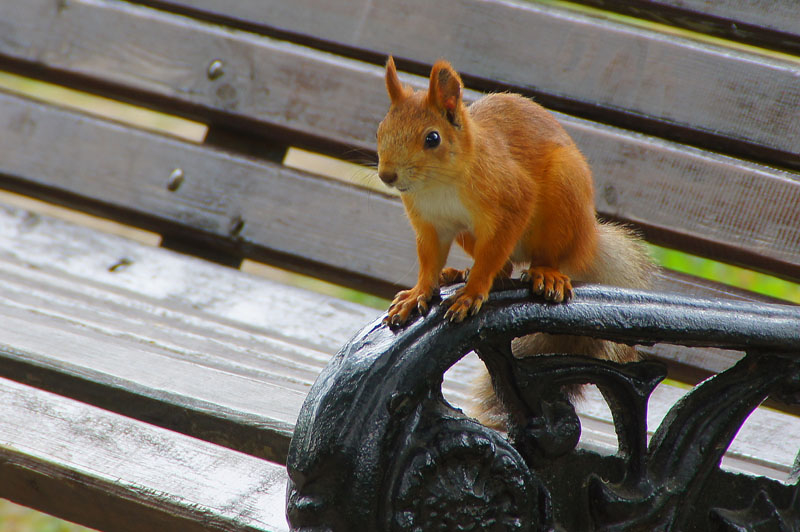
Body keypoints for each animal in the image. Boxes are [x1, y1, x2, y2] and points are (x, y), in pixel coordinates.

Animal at [374, 57, 648, 424]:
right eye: (381, 130)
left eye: (432, 138)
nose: (387, 175)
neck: (440, 184)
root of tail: (588, 241)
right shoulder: (431, 224)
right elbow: (429, 261)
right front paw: (419, 293)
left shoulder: (510, 203)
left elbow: (492, 254)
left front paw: (471, 294)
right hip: (468, 233)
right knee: (503, 269)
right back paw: (458, 273)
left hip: (563, 197)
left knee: (541, 257)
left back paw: (545, 274)